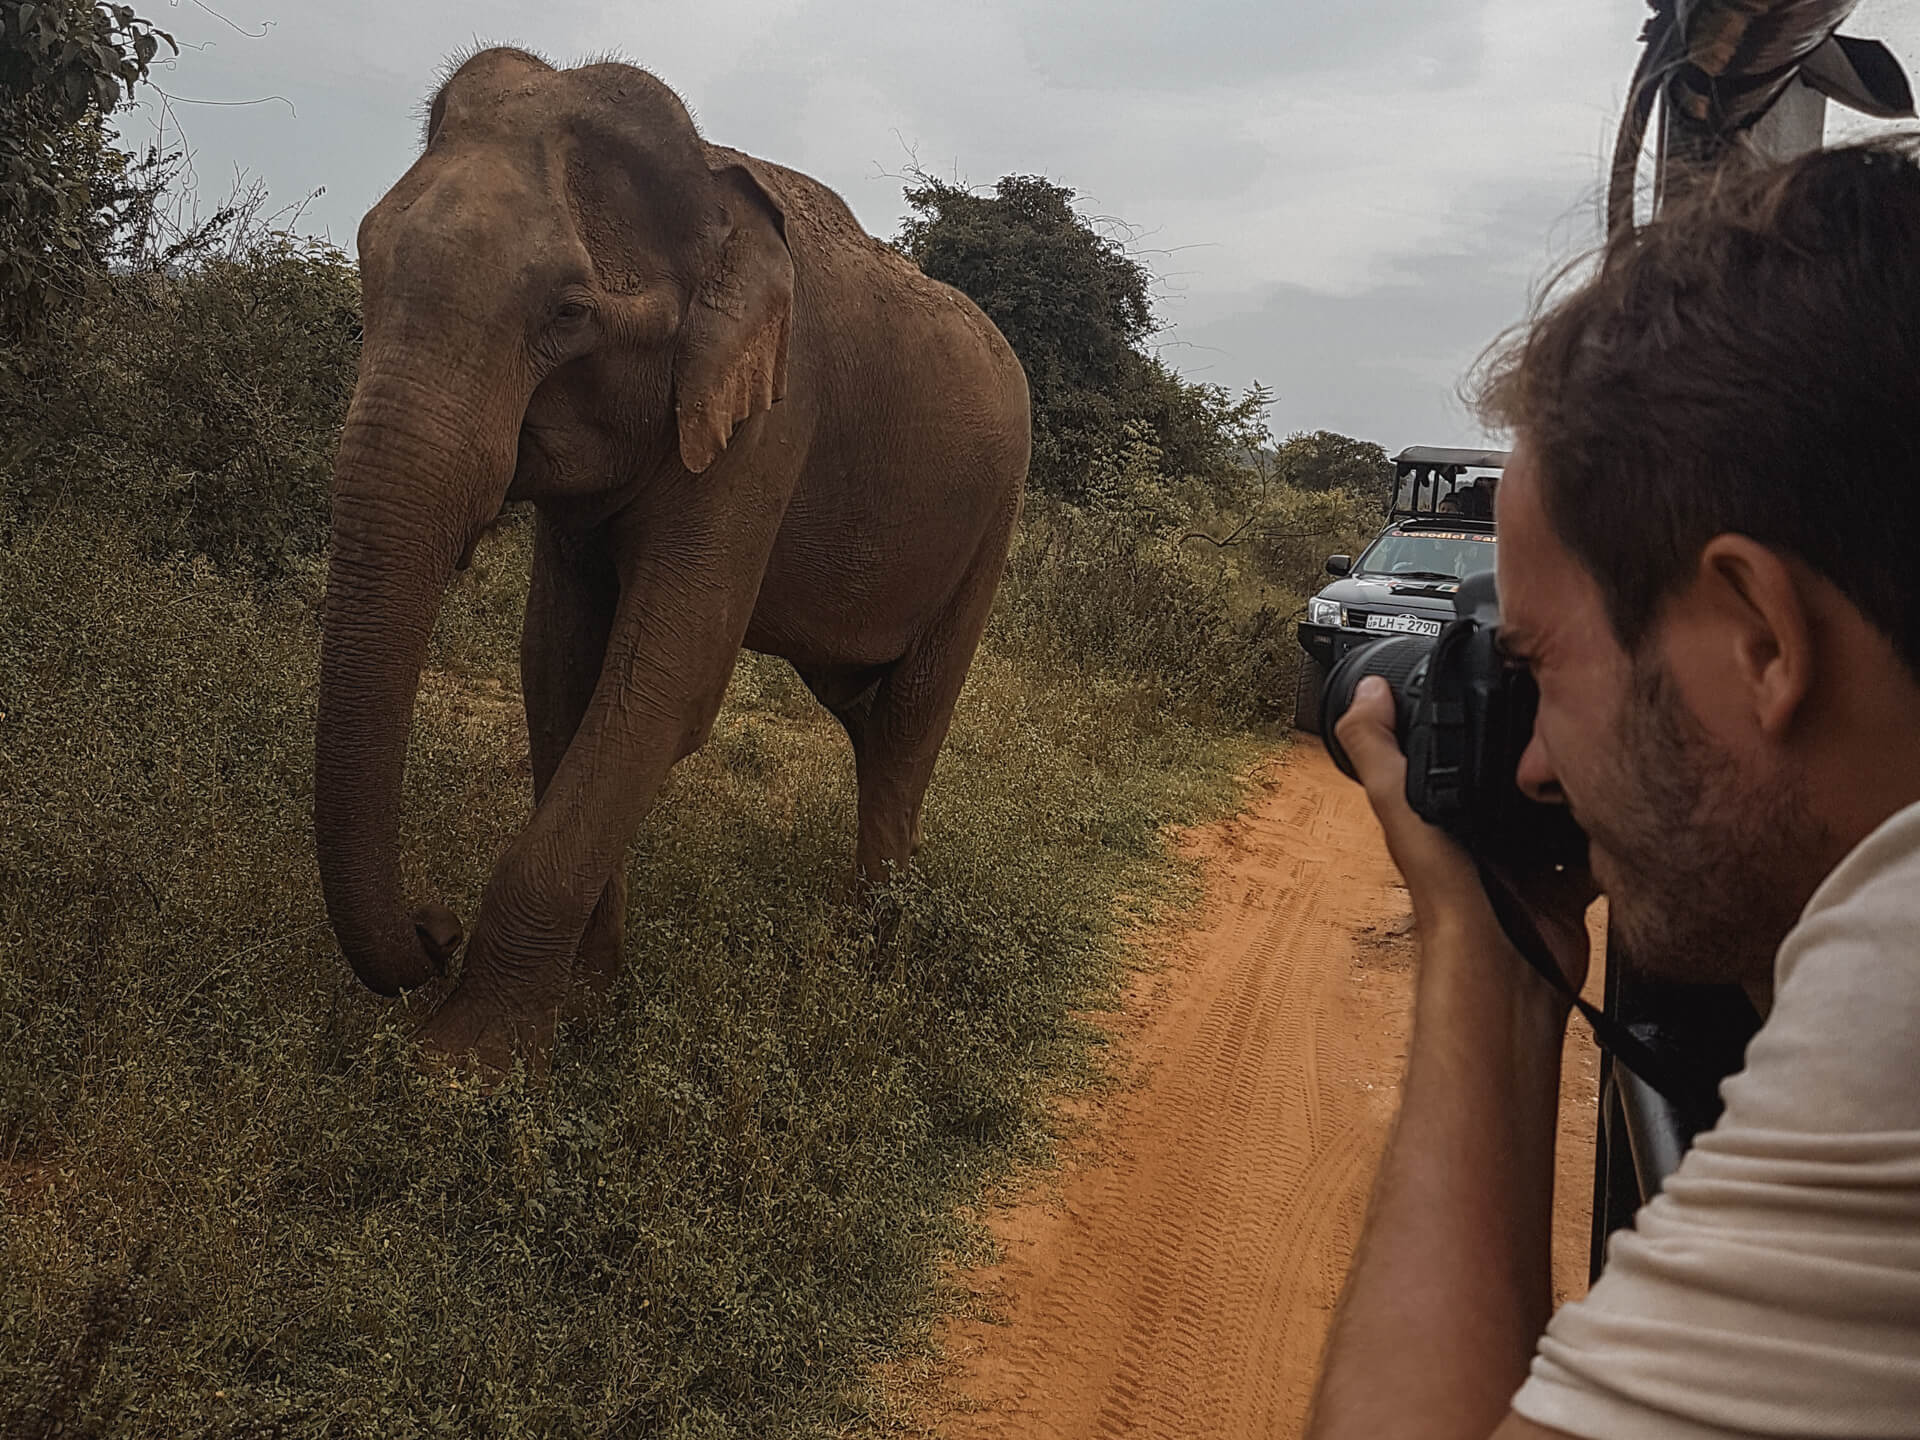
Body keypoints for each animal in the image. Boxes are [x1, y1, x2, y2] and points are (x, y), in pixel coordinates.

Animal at [314, 47, 1031, 1071]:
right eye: (366, 260)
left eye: (569, 313)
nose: (431, 927)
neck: (707, 189)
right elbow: (559, 666)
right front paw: (583, 1005)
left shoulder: (771, 422)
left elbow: (665, 682)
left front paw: (461, 1064)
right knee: (867, 718)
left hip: (994, 518)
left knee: (906, 726)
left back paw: (872, 964)